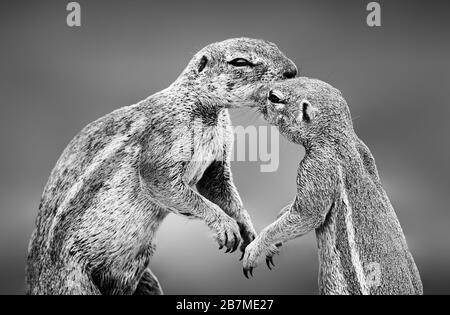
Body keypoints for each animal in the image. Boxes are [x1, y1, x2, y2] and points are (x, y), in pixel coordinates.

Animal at [26, 38, 298, 296]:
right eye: (240, 62)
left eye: (273, 45)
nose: (292, 71)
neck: (206, 112)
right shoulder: (164, 140)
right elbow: (164, 184)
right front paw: (225, 225)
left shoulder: (217, 158)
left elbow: (220, 190)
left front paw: (253, 235)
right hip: (74, 282)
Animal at [243, 78, 422, 296]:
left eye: (274, 97)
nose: (255, 94)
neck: (340, 138)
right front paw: (278, 224)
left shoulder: (316, 167)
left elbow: (307, 215)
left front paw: (255, 248)